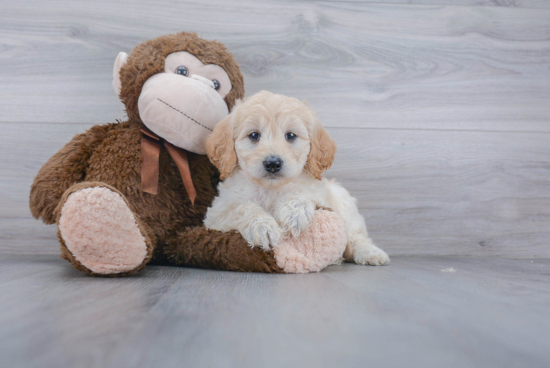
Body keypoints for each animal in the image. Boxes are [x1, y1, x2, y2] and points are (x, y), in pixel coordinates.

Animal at [205, 91, 390, 266]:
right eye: (254, 135)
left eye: (291, 136)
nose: (273, 163)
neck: (270, 188)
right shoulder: (216, 213)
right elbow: (241, 208)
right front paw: (263, 226)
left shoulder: (317, 191)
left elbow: (301, 192)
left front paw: (294, 213)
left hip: (344, 201)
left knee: (354, 237)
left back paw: (370, 253)